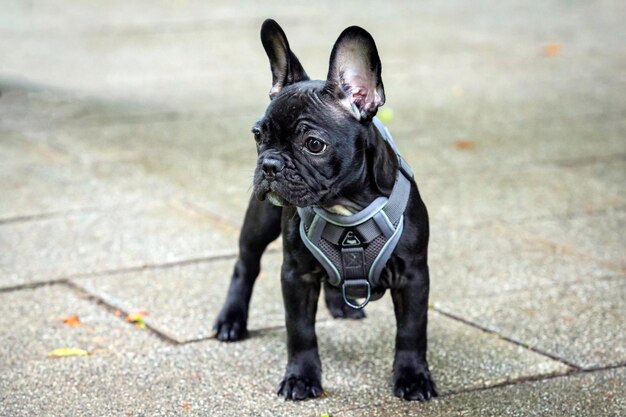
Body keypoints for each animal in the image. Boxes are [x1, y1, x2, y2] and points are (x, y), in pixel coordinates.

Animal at [212, 18, 436, 400]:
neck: (344, 206)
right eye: (258, 135)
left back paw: (340, 302)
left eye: (314, 144)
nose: (269, 164)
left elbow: (411, 331)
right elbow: (300, 331)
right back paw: (231, 319)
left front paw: (413, 378)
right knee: (245, 264)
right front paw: (301, 378)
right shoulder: (296, 275)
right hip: (260, 223)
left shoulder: (413, 275)